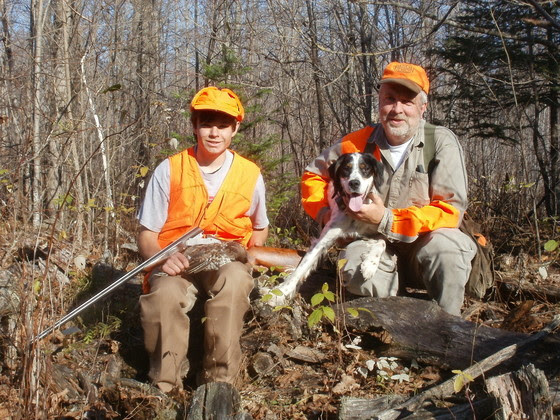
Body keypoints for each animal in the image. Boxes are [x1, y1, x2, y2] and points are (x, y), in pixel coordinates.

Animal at [264, 153, 388, 306]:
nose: (354, 183)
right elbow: (301, 267)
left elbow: (382, 242)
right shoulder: (322, 240)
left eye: (365, 168)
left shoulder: (374, 228)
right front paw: (279, 293)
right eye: (346, 168)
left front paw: (370, 265)